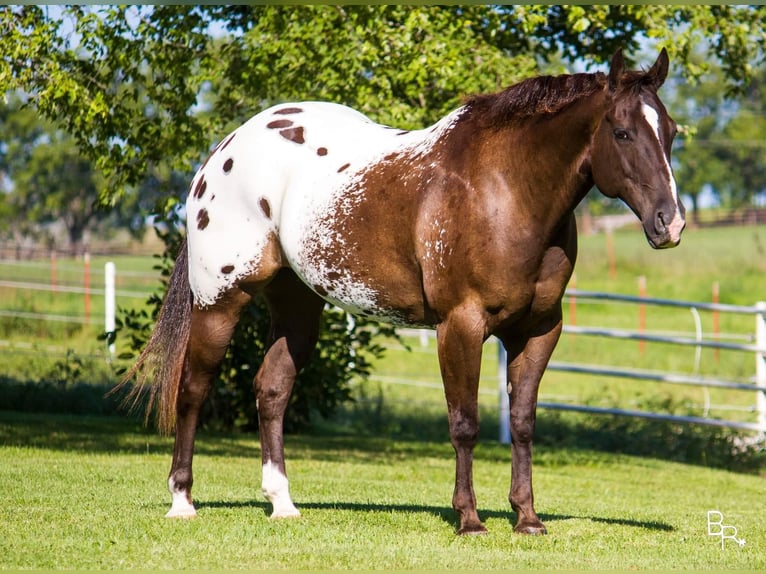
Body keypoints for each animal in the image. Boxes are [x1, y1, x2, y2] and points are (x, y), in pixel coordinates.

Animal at [123, 48, 688, 536]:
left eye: (671, 133)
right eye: (622, 132)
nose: (671, 223)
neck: (506, 190)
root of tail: (222, 152)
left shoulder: (539, 330)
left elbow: (524, 423)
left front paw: (527, 519)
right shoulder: (460, 325)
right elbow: (464, 424)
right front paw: (470, 520)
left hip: (297, 301)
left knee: (273, 389)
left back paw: (282, 503)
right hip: (221, 299)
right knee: (193, 389)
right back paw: (182, 501)